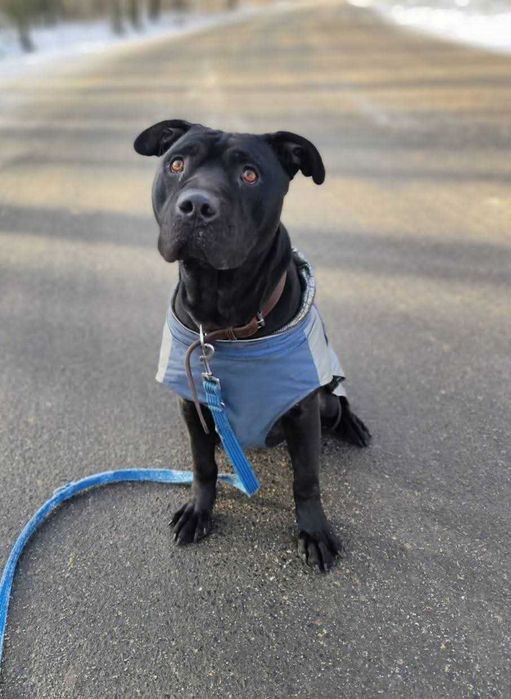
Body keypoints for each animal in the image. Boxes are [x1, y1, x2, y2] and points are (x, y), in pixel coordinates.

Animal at [134, 120, 370, 572]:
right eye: (177, 163)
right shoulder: (192, 403)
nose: (196, 206)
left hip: (325, 401)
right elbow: (203, 466)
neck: (223, 321)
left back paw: (353, 425)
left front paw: (314, 531)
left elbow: (306, 480)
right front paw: (199, 510)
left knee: (339, 400)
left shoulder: (302, 411)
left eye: (249, 175)